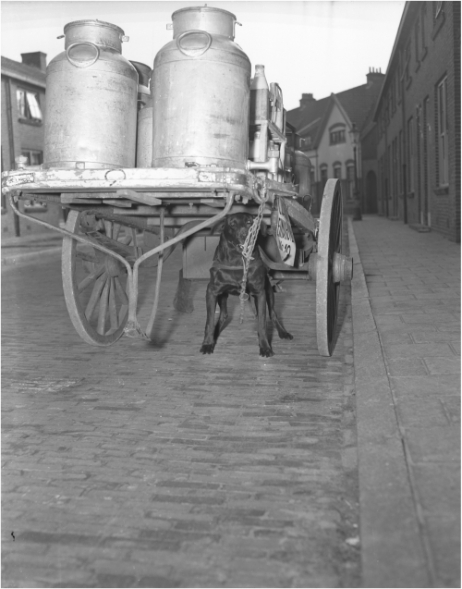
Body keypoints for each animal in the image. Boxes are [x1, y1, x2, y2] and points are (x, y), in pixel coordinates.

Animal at [199, 212, 292, 356]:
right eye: (232, 223)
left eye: (249, 222)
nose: (245, 234)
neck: (238, 260)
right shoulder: (212, 291)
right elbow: (209, 321)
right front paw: (208, 343)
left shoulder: (260, 293)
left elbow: (262, 322)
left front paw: (265, 346)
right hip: (222, 295)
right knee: (224, 315)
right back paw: (215, 333)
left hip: (268, 291)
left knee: (272, 313)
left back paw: (283, 332)